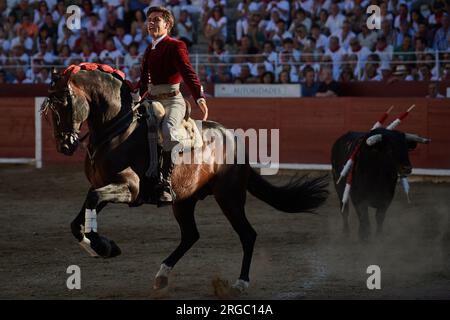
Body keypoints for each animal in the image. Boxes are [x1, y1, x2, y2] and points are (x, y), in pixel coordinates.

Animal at [42, 67, 328, 296]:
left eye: (65, 103)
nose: (64, 145)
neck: (116, 130)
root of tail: (232, 137)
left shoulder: (129, 188)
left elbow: (88, 211)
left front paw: (104, 247)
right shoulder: (102, 186)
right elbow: (78, 221)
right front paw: (102, 248)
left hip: (230, 197)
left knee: (247, 234)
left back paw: (240, 283)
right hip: (184, 200)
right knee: (191, 234)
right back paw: (161, 276)